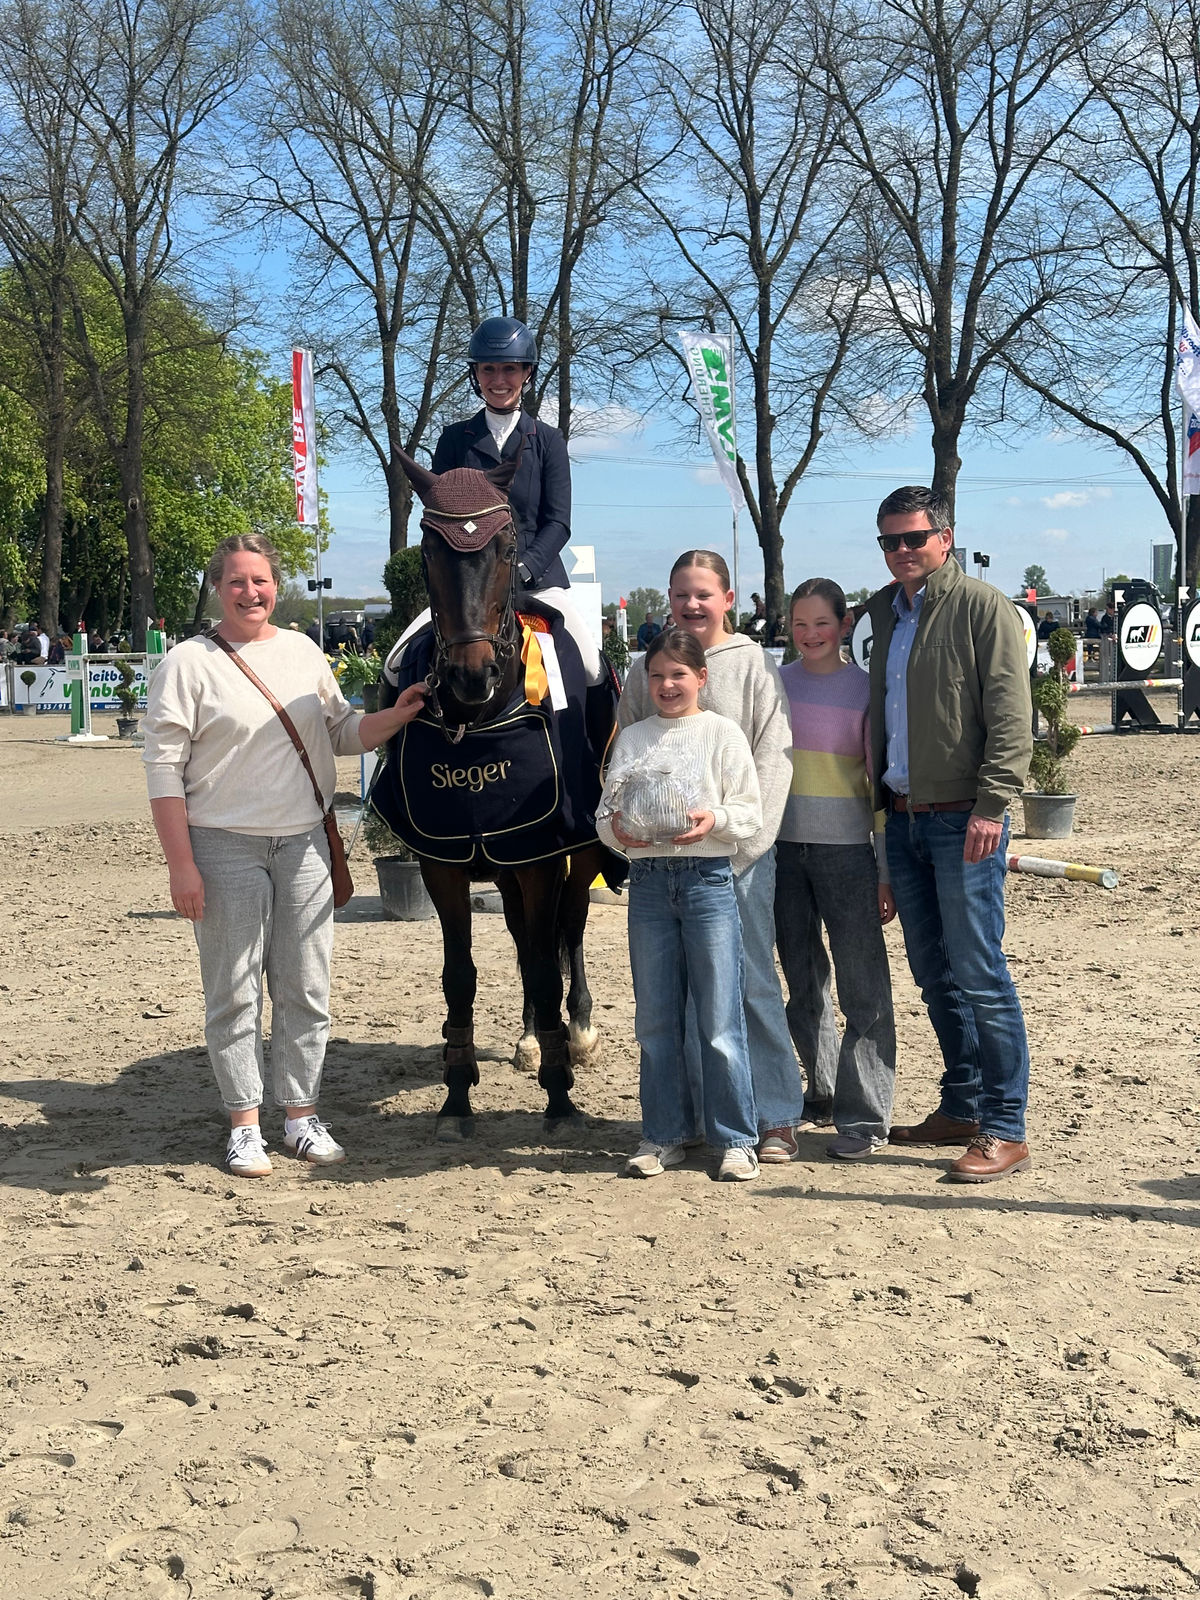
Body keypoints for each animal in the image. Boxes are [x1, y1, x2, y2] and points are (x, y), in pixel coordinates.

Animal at [375, 449, 619, 1141]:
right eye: (428, 549)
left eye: (508, 546)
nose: (470, 675)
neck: (478, 721)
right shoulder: (444, 862)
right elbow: (461, 974)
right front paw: (457, 1096)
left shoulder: (541, 855)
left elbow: (546, 954)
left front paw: (560, 1096)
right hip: (505, 862)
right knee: (522, 936)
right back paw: (533, 1038)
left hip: (575, 851)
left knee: (569, 927)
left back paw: (576, 1032)